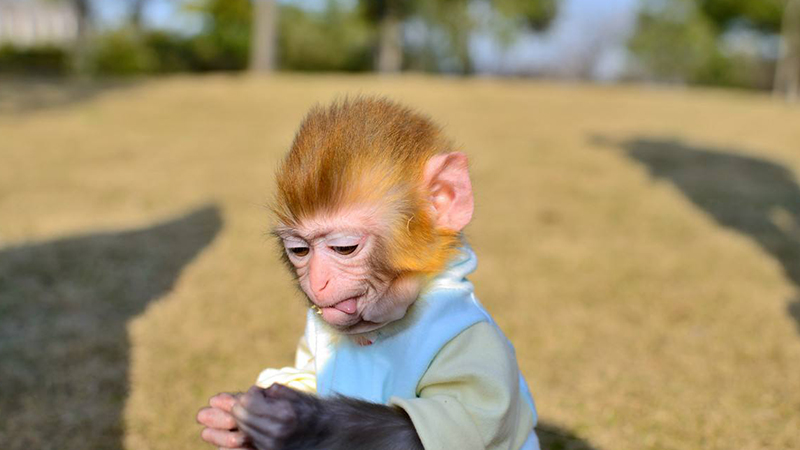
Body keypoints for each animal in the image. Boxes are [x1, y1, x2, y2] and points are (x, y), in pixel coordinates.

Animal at [197, 97, 540, 450]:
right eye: (300, 251)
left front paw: (303, 422)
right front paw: (228, 424)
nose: (318, 282)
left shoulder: (476, 349)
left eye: (344, 248)